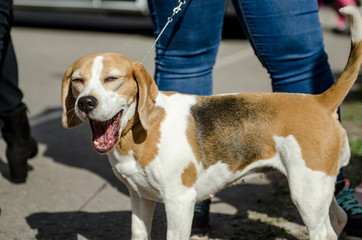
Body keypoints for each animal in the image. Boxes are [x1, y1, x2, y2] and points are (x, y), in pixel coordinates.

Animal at [62, 5, 360, 240]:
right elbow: (138, 232)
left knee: (324, 232)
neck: (141, 130)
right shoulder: (140, 198)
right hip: (317, 189)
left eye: (112, 78)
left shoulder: (179, 201)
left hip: (306, 190)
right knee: (338, 219)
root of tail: (319, 101)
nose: (86, 102)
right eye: (77, 80)